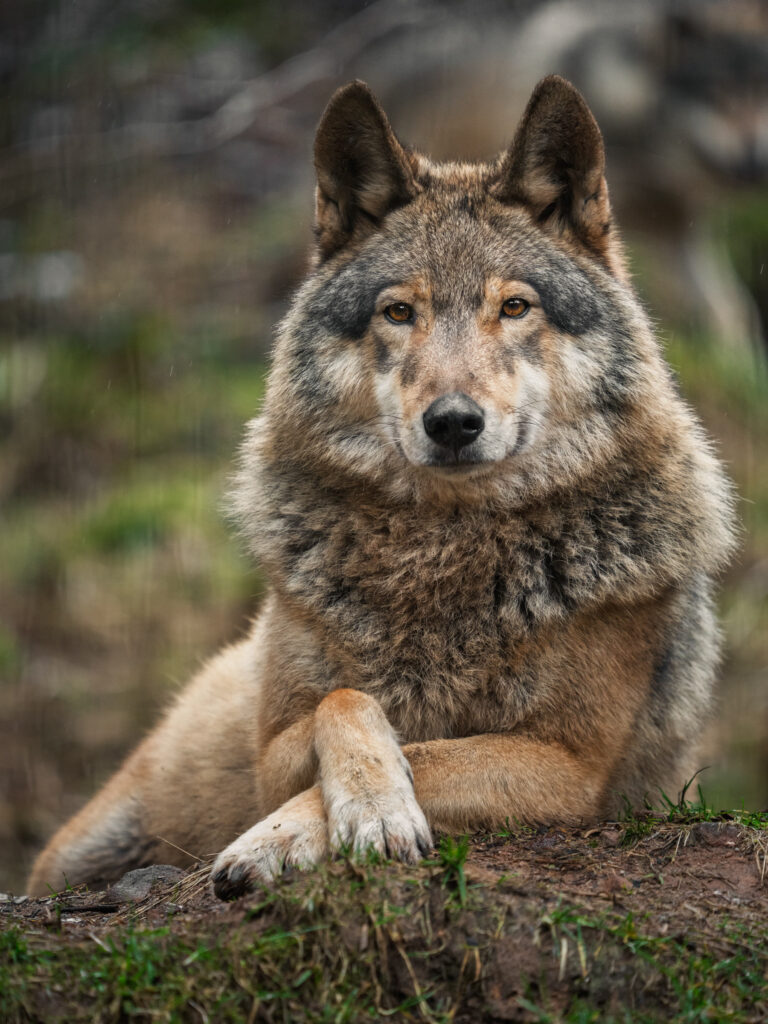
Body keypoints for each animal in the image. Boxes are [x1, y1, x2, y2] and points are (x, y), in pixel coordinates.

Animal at [28, 75, 736, 899]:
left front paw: (304, 833)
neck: (442, 554)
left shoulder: (571, 765)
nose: (453, 422)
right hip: (84, 847)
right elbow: (348, 701)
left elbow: (428, 754)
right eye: (399, 311)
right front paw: (361, 807)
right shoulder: (271, 753)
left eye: (514, 306)